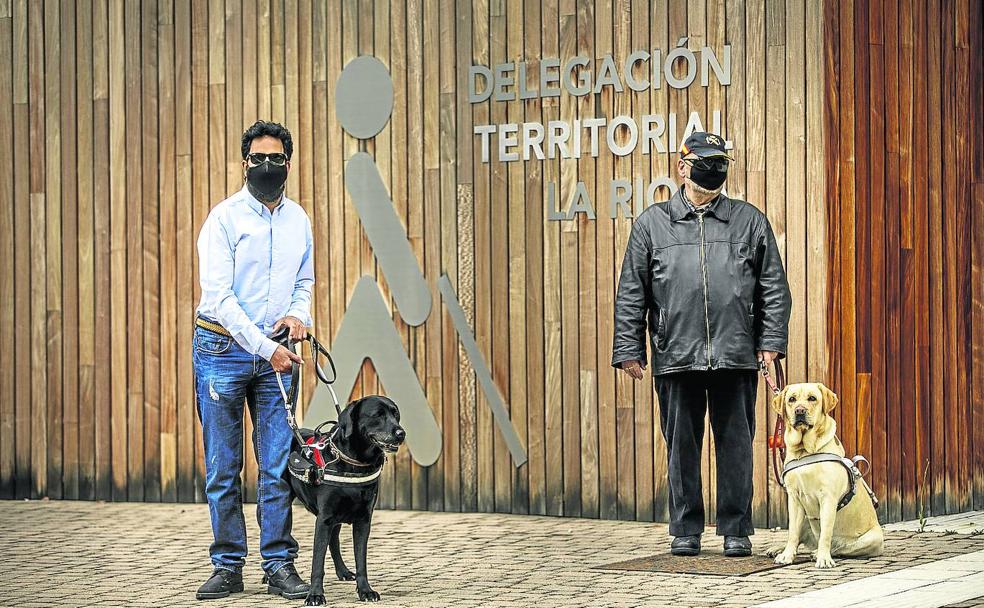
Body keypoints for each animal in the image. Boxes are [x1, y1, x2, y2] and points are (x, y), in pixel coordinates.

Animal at [286, 394, 406, 604]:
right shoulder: (324, 519)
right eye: (378, 415)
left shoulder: (363, 520)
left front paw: (366, 591)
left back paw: (342, 571)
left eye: (395, 414)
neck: (355, 462)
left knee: (334, 541)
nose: (401, 433)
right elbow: (318, 561)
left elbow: (361, 560)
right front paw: (315, 594)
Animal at [768, 382, 884, 568]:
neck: (805, 451)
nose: (799, 410)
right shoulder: (794, 499)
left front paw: (824, 558)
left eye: (812, 398)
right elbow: (792, 532)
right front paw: (786, 555)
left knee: (841, 547)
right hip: (806, 518)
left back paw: (817, 553)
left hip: (873, 539)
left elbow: (826, 535)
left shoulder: (828, 498)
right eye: (792, 399)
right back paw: (779, 549)